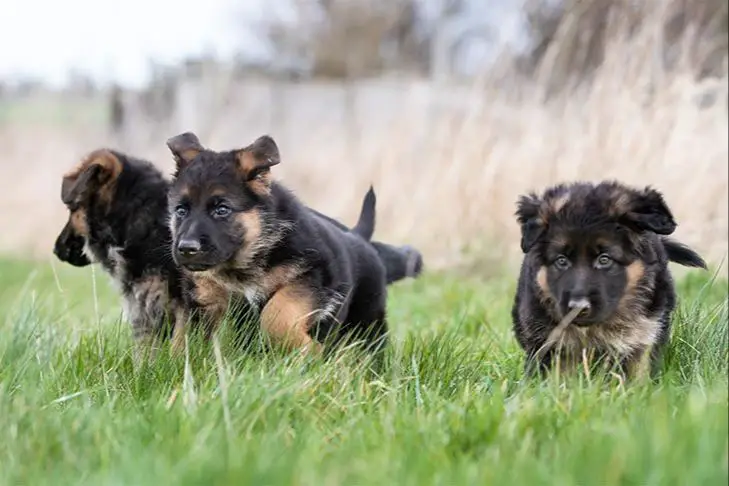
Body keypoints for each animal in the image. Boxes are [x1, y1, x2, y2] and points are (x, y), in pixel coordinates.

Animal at [166, 131, 392, 356]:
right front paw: (181, 358)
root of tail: (358, 236)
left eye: (222, 209)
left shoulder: (310, 276)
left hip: (366, 323)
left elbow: (277, 312)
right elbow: (188, 336)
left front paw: (308, 349)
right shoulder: (205, 298)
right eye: (181, 210)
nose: (186, 248)